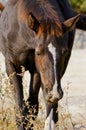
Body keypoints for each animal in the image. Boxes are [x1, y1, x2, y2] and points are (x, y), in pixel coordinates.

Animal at [0, 0, 79, 130]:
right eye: (38, 52)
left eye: (65, 52)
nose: (54, 92)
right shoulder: (11, 66)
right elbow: (20, 108)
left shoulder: (36, 71)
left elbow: (33, 106)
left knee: (50, 107)